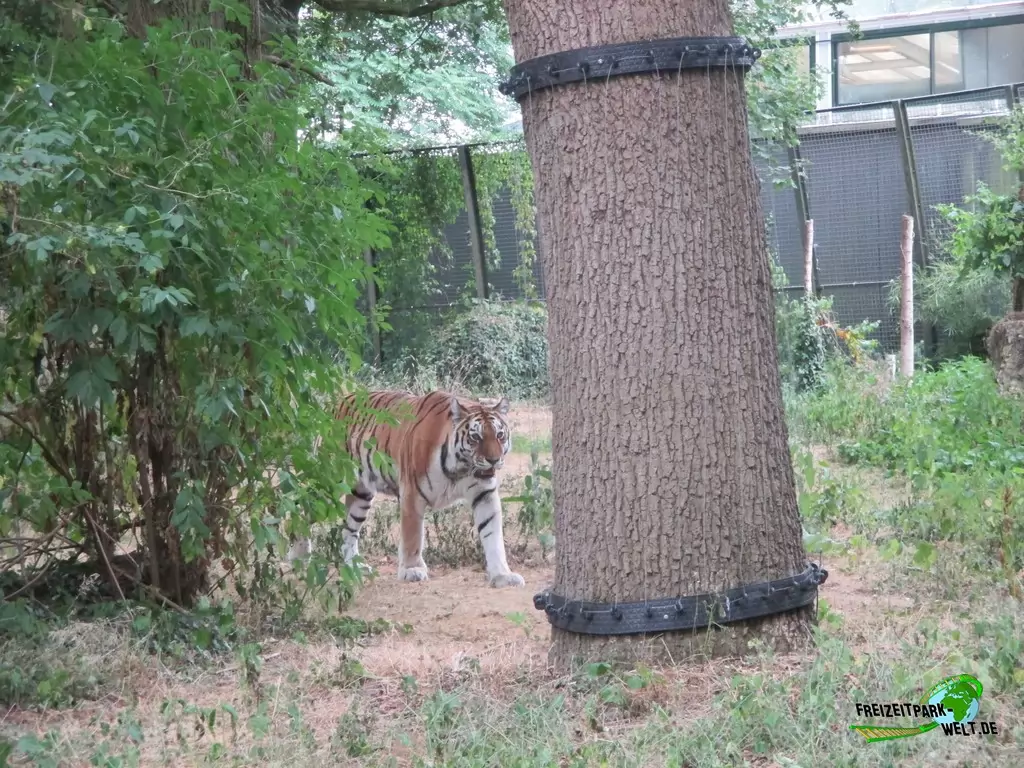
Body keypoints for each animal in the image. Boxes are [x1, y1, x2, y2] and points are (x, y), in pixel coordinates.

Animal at [286, 390, 526, 588]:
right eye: (476, 437)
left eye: (500, 435)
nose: (494, 460)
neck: (460, 468)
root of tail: (337, 402)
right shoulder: (413, 494)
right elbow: (413, 537)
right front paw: (412, 570)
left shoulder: (484, 494)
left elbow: (493, 535)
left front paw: (503, 575)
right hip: (330, 484)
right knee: (299, 510)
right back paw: (298, 557)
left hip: (361, 495)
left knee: (349, 529)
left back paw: (356, 567)